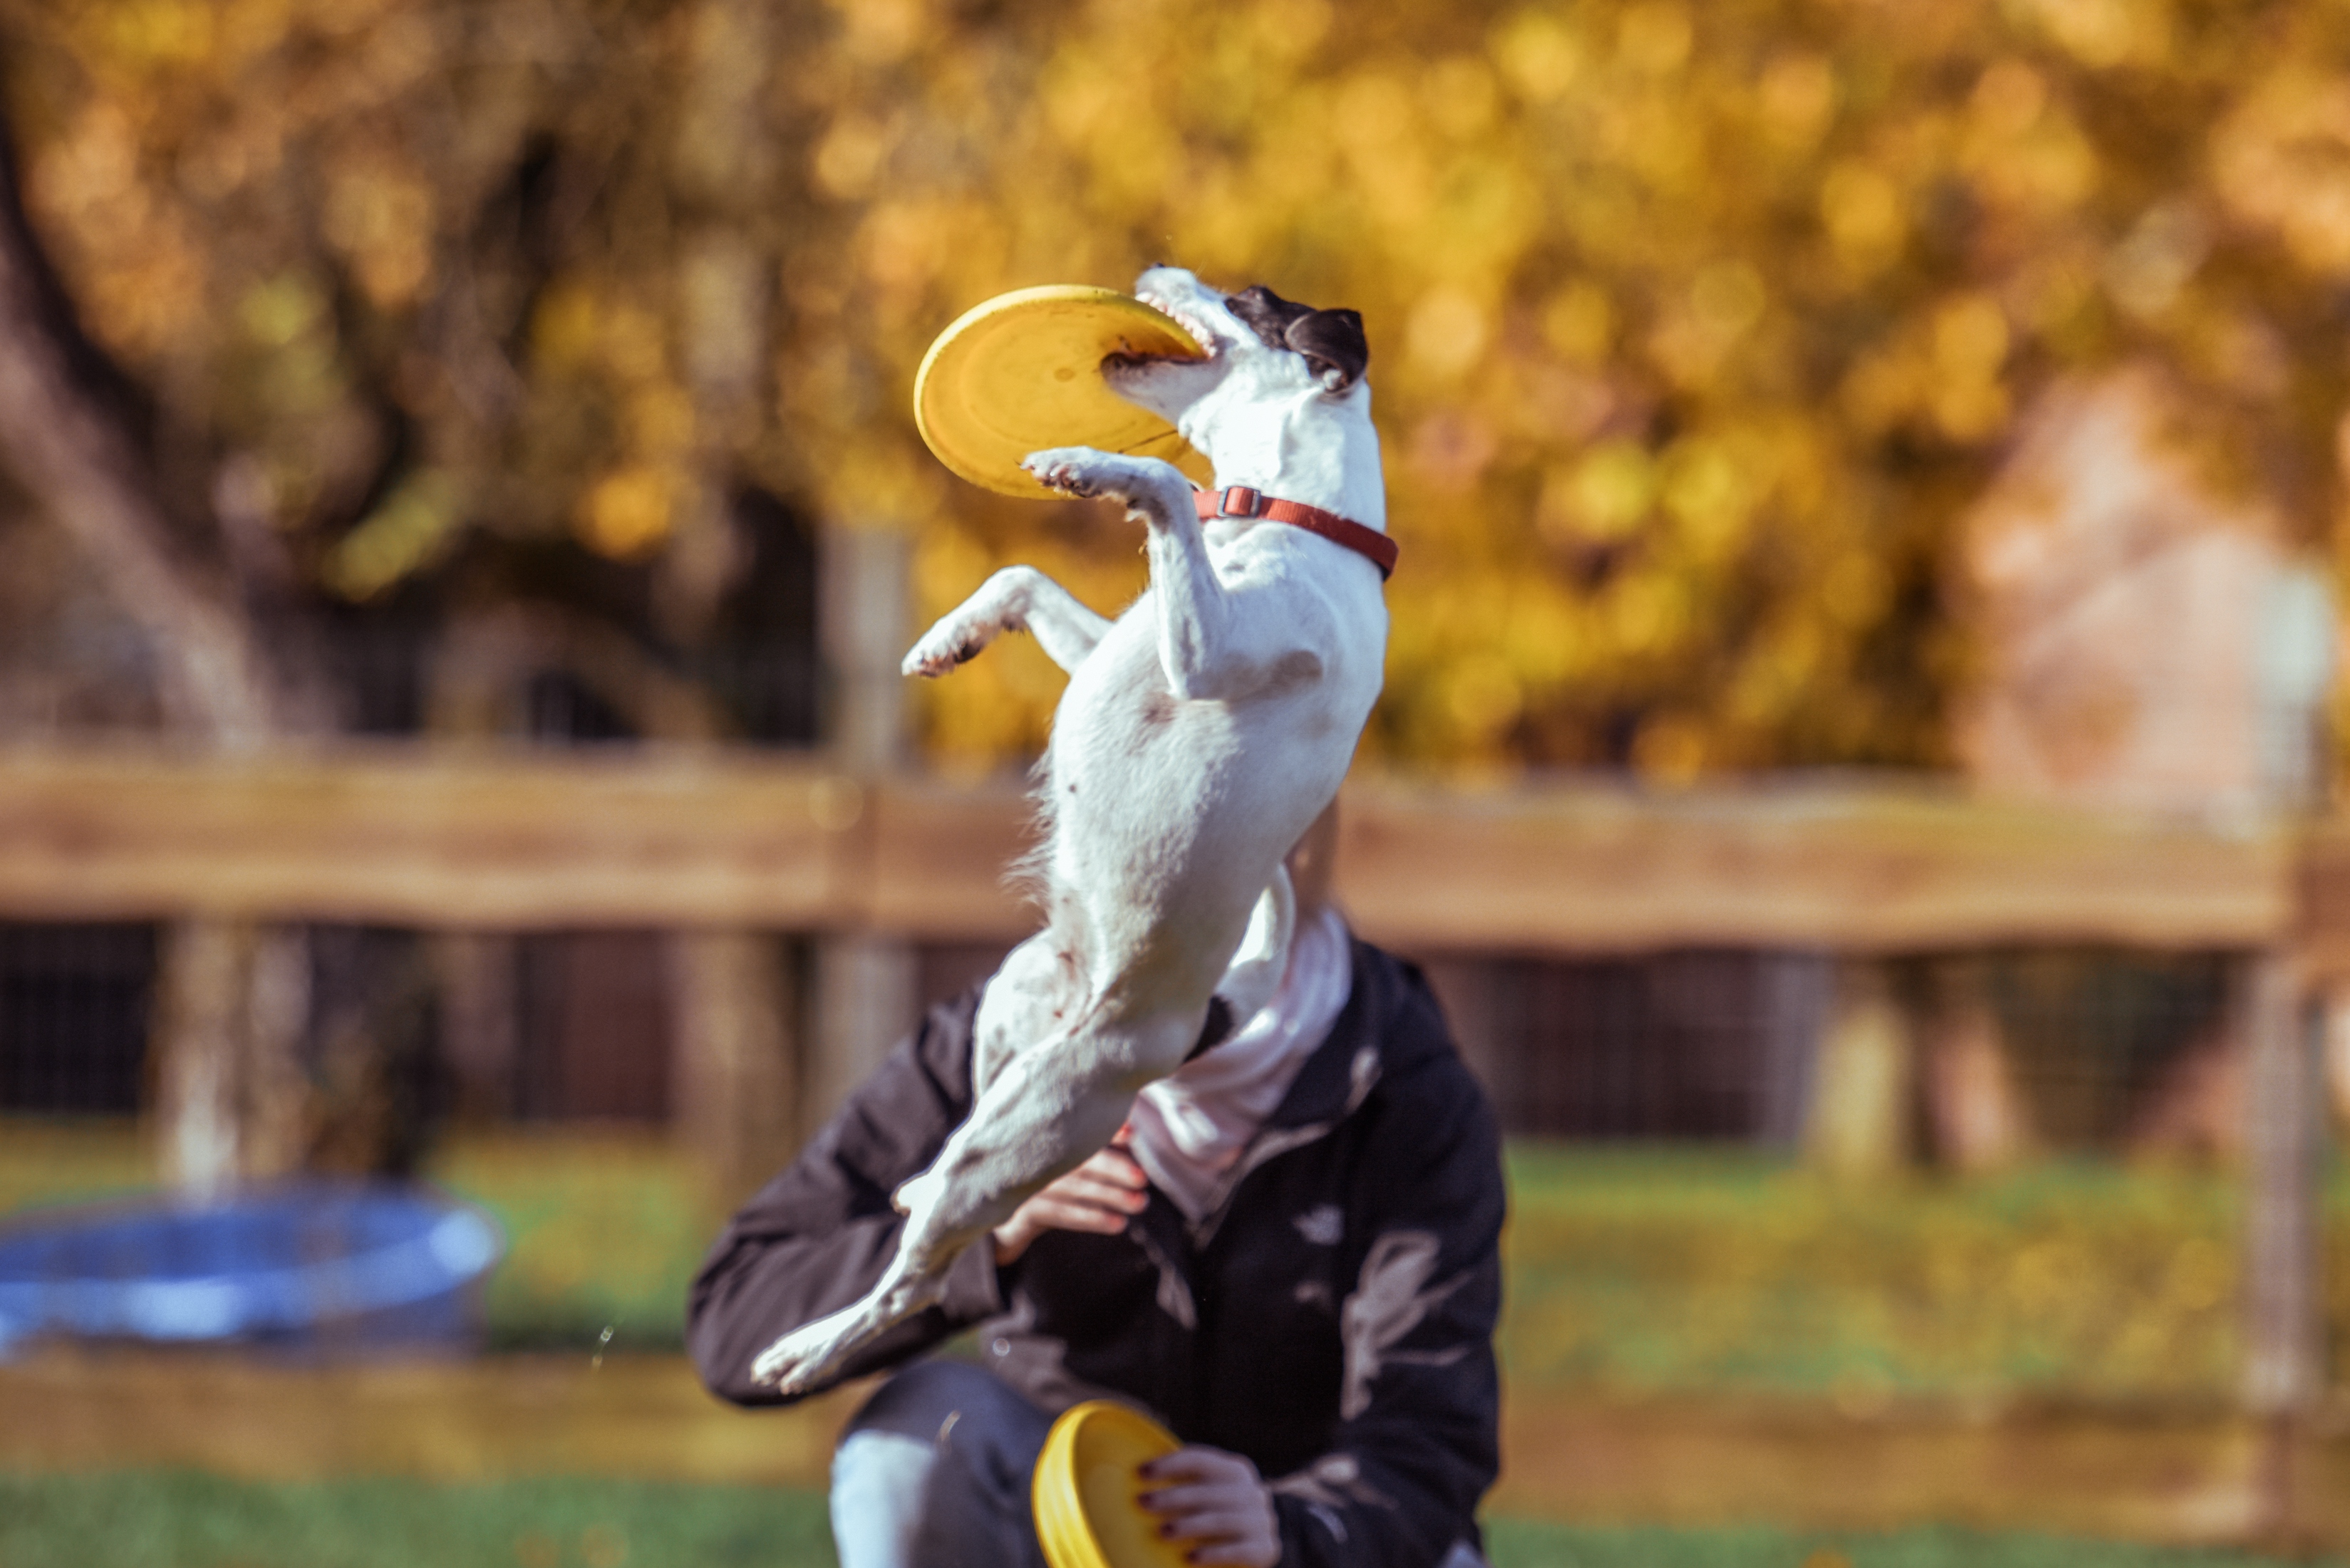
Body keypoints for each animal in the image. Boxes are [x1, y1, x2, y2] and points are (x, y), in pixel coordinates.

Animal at [752, 270, 1382, 1401]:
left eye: (1247, 296)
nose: (1156, 268)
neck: (1287, 520)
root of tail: (1195, 1023)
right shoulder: (1121, 641)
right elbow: (1023, 581)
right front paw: (947, 637)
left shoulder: (1208, 652)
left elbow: (1162, 484)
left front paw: (1091, 468)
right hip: (1010, 1010)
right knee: (951, 1137)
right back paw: (908, 1185)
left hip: (1026, 1128)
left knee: (913, 1280)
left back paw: (806, 1347)